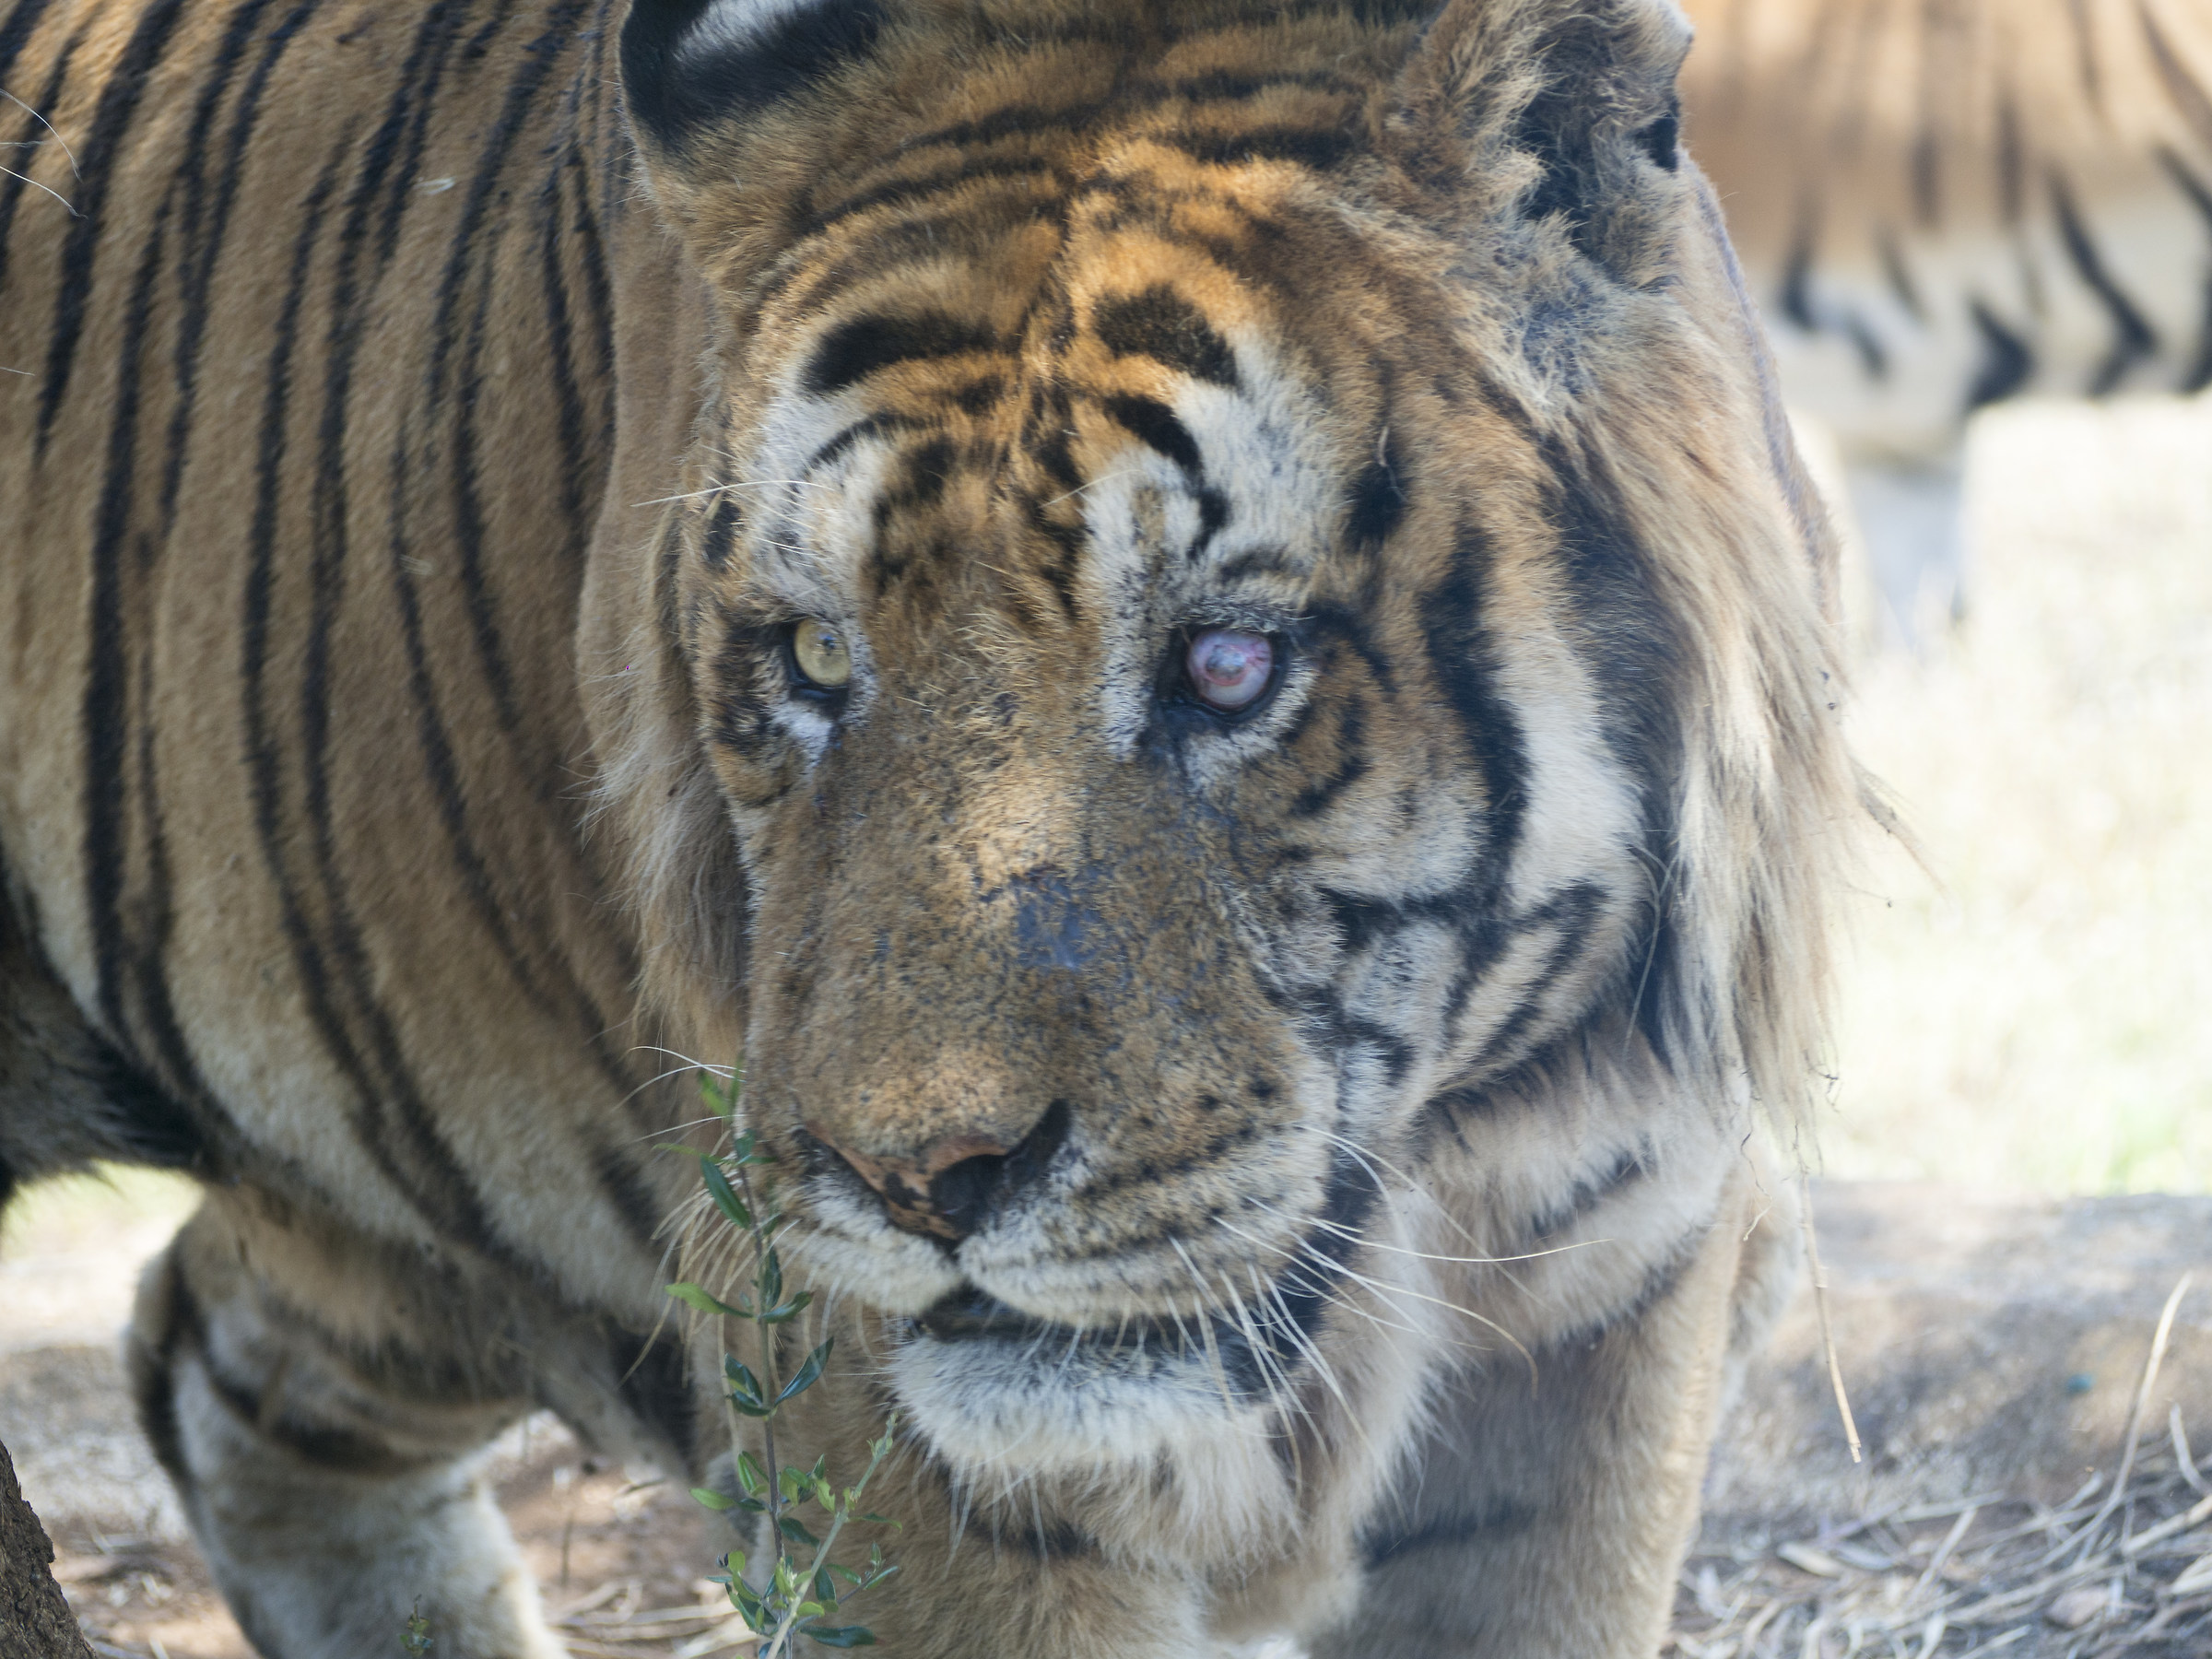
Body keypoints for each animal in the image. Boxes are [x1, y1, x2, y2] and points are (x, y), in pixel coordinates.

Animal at [0, 0, 1858, 1655]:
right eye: (821, 659)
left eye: (1227, 663)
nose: (921, 1182)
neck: (1430, 1159)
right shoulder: (874, 1418)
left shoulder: (1619, 1286)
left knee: (210, 1346)